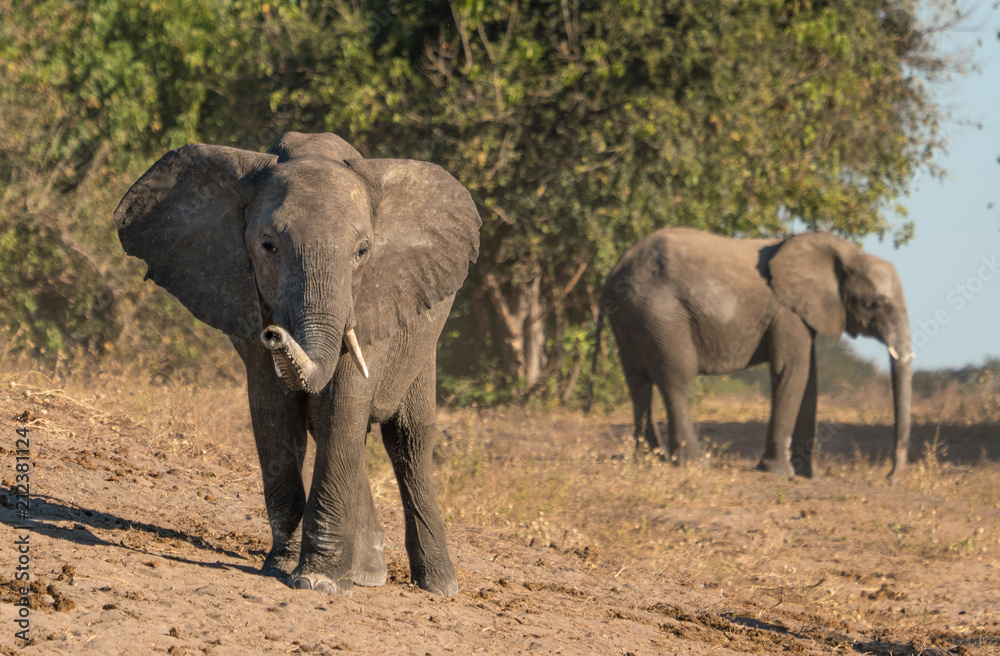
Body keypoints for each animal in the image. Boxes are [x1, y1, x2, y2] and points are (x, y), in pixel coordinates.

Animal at [114, 132, 481, 596]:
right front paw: (283, 566)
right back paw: (367, 574)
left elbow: (343, 404)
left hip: (423, 334)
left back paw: (437, 586)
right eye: (268, 246)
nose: (275, 334)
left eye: (363, 252)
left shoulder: (374, 298)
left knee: (407, 437)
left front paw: (317, 581)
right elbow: (274, 411)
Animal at [595, 227, 912, 479]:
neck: (844, 252)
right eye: (875, 305)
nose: (889, 477)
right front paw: (779, 473)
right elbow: (791, 371)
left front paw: (809, 476)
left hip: (630, 314)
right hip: (661, 313)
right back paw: (694, 464)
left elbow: (809, 379)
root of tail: (615, 271)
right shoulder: (786, 310)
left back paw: (649, 458)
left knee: (637, 381)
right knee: (676, 377)